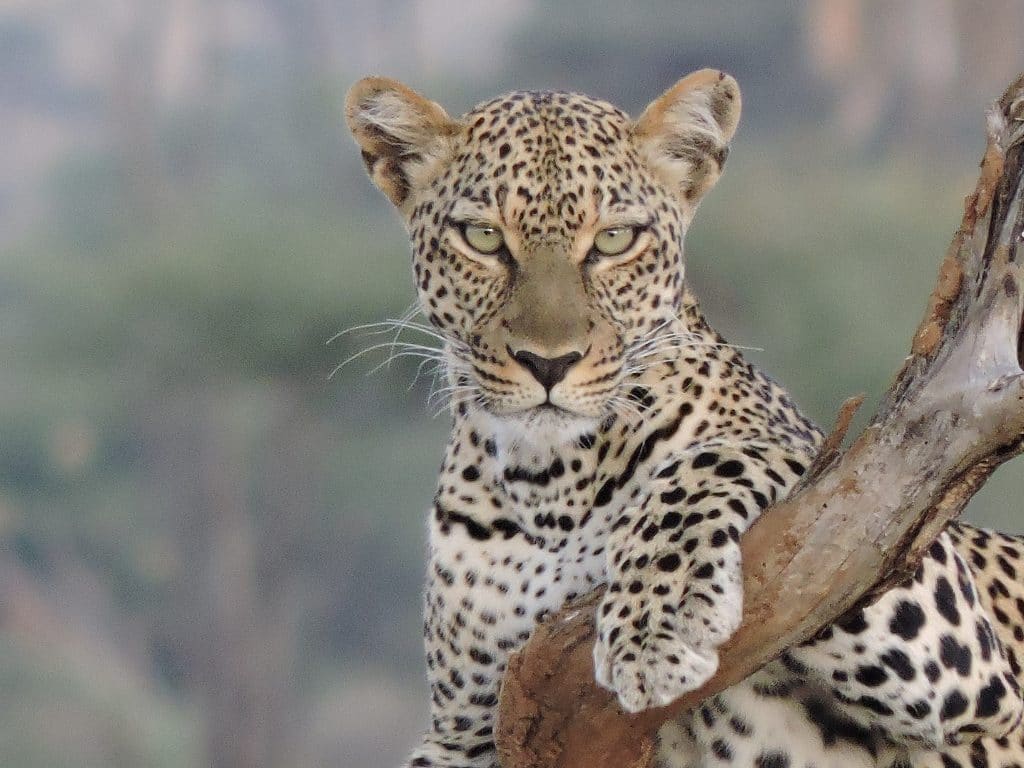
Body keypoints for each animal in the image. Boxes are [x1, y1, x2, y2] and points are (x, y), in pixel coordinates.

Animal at [346, 70, 1024, 768]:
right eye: (482, 238)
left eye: (614, 240)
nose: (548, 362)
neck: (551, 486)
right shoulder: (466, 730)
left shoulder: (956, 650)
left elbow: (727, 459)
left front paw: (655, 628)